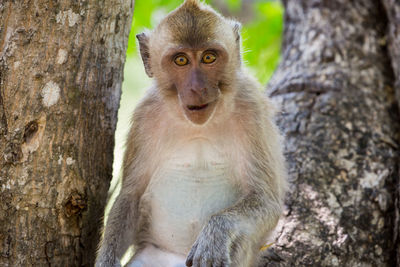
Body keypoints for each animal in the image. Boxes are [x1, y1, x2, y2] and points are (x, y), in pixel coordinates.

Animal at [95, 0, 286, 267]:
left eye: (208, 57)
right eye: (181, 60)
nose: (197, 88)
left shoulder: (252, 109)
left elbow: (266, 199)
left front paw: (215, 233)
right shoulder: (146, 116)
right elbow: (131, 195)